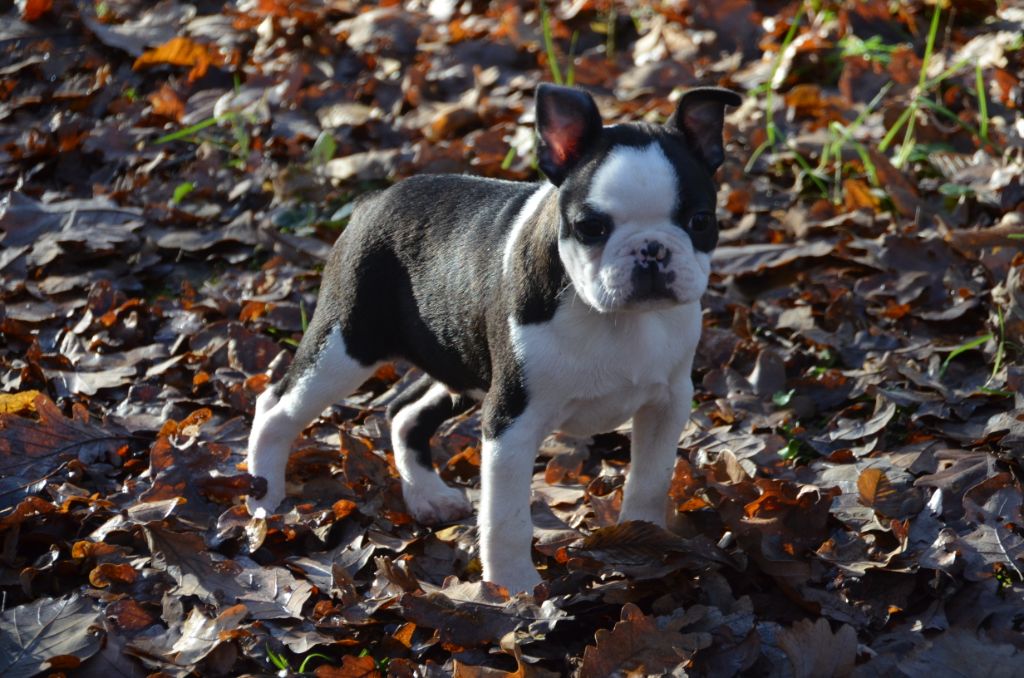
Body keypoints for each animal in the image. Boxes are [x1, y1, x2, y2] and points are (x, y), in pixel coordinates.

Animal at [247, 85, 745, 594]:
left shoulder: (667, 404)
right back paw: (264, 499)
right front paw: (514, 586)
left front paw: (646, 539)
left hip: (459, 364)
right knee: (277, 405)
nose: (651, 249)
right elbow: (506, 518)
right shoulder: (510, 418)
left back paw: (428, 496)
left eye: (701, 221)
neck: (615, 319)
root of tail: (373, 199)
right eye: (591, 227)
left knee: (403, 410)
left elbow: (649, 479)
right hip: (347, 341)